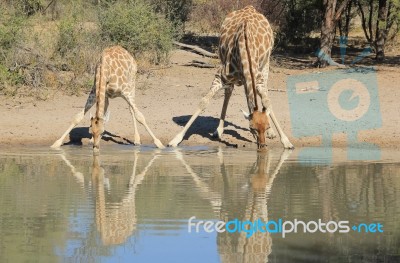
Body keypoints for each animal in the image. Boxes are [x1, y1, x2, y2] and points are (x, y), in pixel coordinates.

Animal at [169, 5, 294, 151]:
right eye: (252, 128)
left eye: (267, 126)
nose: (262, 146)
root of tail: (250, 7)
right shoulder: (220, 76)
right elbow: (204, 102)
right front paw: (175, 140)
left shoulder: (258, 80)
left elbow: (267, 102)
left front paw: (285, 141)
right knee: (229, 93)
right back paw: (218, 130)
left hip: (265, 64)